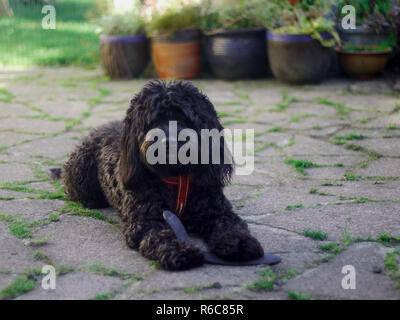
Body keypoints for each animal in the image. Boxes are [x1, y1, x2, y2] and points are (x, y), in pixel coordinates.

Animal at [59, 80, 264, 270]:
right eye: (154, 121)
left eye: (184, 118)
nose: (169, 142)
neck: (176, 177)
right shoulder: (146, 221)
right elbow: (159, 235)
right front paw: (178, 250)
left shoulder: (218, 211)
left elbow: (230, 225)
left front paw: (239, 242)